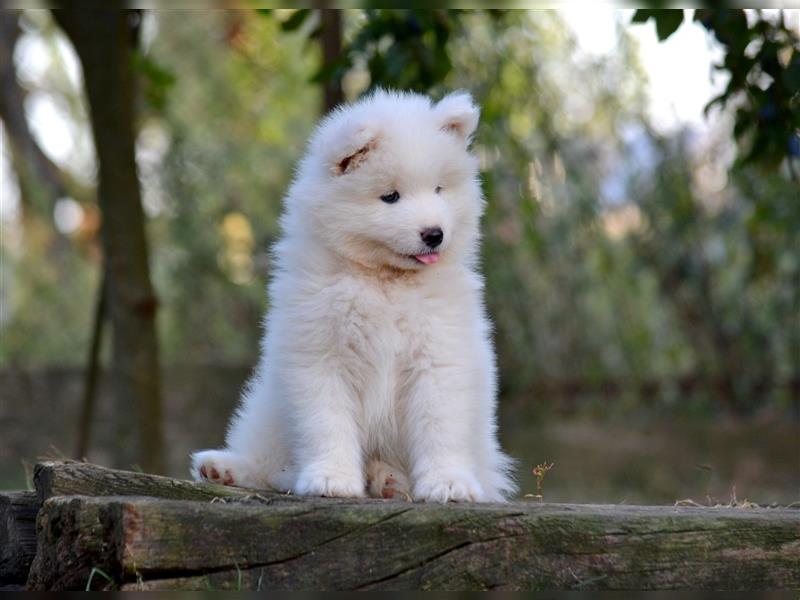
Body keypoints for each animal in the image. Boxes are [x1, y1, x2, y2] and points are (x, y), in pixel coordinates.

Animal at [191, 88, 516, 502]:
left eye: (439, 189)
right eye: (390, 197)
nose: (434, 234)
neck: (384, 280)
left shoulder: (439, 355)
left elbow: (439, 425)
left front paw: (448, 482)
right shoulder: (320, 355)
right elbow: (326, 422)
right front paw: (331, 479)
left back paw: (389, 480)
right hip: (268, 407)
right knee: (267, 461)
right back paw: (226, 468)